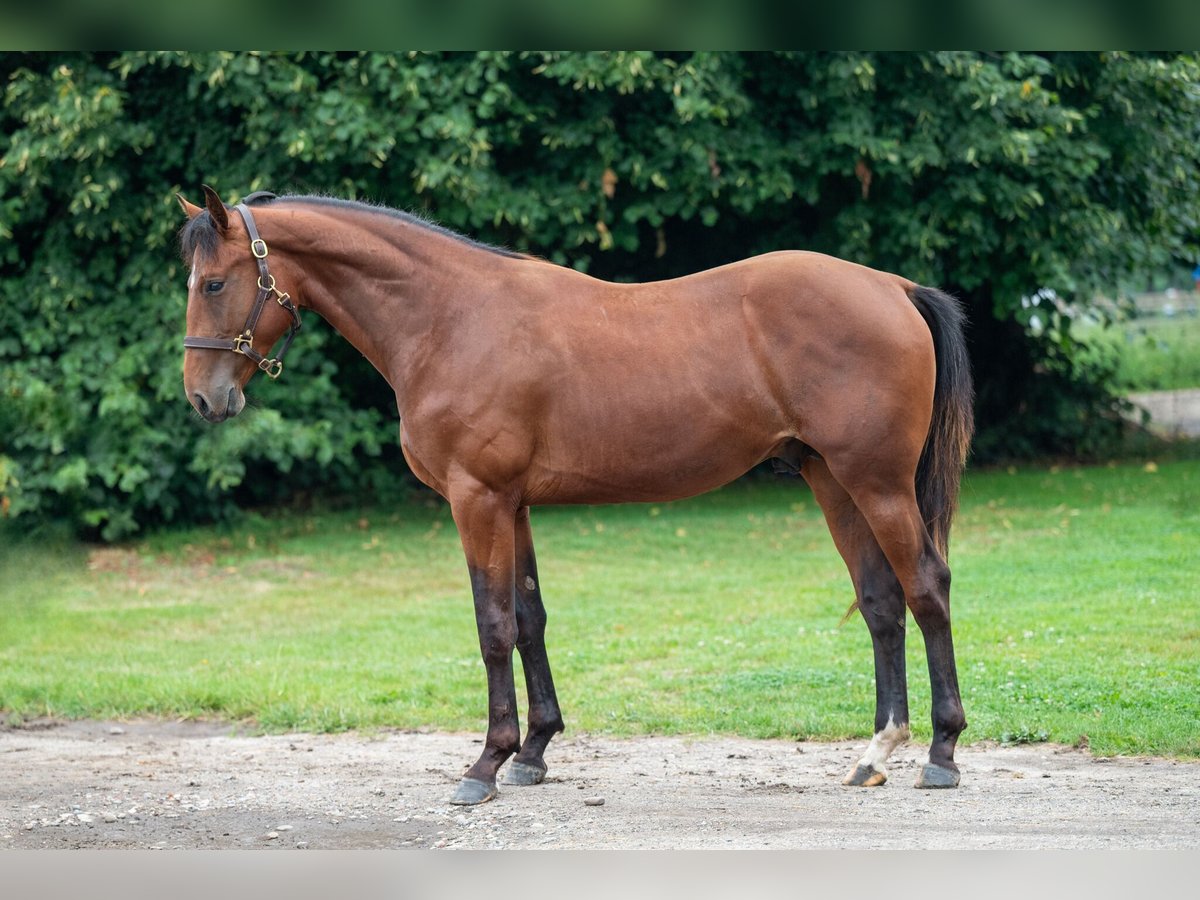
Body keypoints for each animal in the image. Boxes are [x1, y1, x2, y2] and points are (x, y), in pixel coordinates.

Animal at [175, 187, 974, 806]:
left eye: (212, 284)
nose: (203, 399)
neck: (448, 316)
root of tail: (893, 287)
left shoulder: (477, 501)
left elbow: (492, 625)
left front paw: (485, 763)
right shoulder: (514, 505)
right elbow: (530, 619)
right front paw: (532, 752)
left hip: (876, 483)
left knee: (927, 588)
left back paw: (941, 755)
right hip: (833, 480)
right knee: (880, 602)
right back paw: (876, 753)